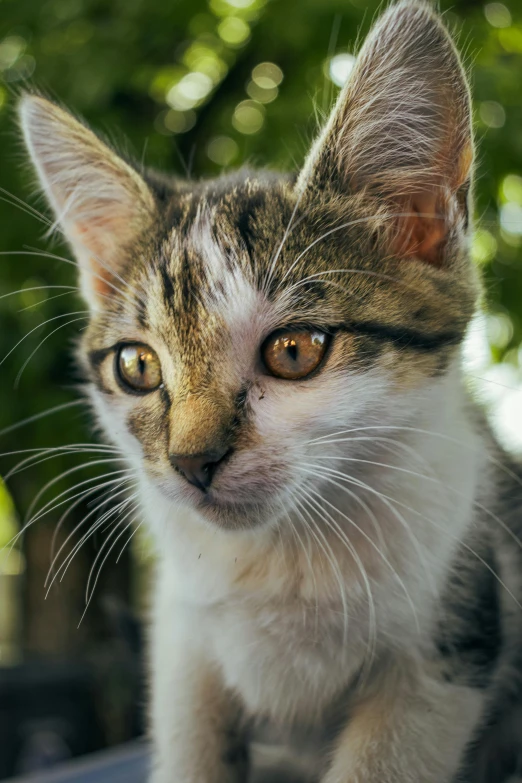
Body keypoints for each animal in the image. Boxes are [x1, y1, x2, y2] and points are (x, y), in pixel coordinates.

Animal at [17, 1, 520, 783]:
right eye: (137, 367)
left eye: (294, 351)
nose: (192, 461)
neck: (283, 555)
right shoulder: (182, 638)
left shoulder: (448, 649)